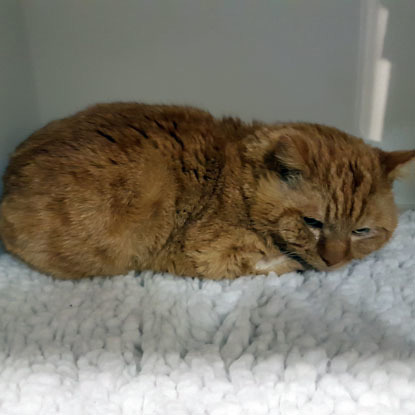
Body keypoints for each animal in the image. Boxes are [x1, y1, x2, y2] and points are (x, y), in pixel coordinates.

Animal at [0, 102, 415, 282]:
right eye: (312, 222)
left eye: (362, 231)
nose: (335, 261)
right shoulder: (211, 255)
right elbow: (275, 264)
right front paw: (296, 263)